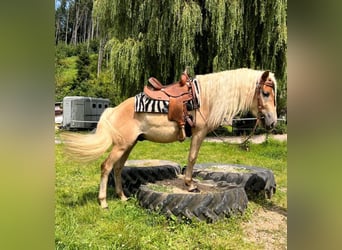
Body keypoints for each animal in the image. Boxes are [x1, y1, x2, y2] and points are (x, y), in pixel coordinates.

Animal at [61, 67, 278, 208]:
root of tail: (113, 110)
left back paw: (122, 197)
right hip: (122, 146)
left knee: (118, 168)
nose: (272, 122)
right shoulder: (199, 133)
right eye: (266, 93)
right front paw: (190, 185)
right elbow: (192, 158)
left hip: (128, 145)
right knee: (106, 166)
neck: (205, 98)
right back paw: (103, 202)